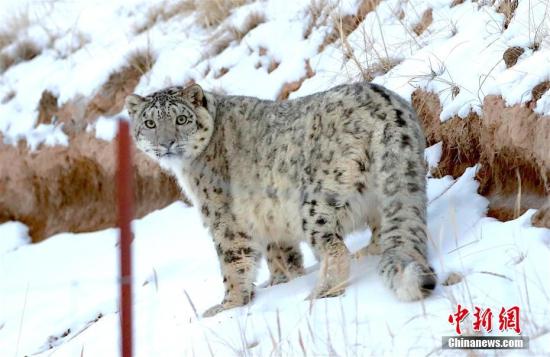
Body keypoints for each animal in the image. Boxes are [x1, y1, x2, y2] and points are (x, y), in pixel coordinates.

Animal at [126, 82, 440, 316]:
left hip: (317, 200)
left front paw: (227, 305)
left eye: (181, 119)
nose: (165, 143)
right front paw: (280, 281)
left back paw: (320, 292)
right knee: (383, 226)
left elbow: (232, 261)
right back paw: (367, 252)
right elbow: (280, 253)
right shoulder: (267, 217)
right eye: (150, 123)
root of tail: (385, 105)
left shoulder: (223, 218)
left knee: (335, 248)